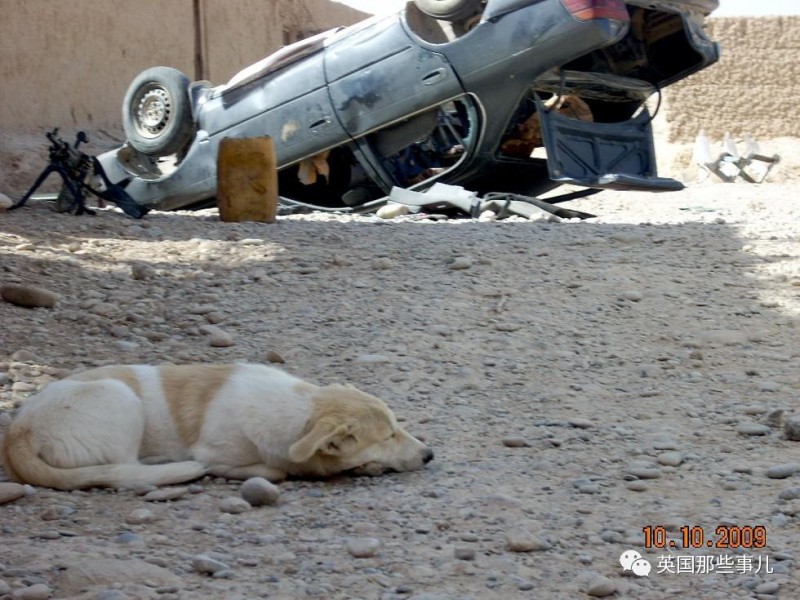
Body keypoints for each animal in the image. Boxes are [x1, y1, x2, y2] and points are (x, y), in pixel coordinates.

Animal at [0, 364, 432, 490]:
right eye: (389, 435)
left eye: (397, 427)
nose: (430, 455)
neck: (300, 411)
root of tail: (18, 430)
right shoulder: (217, 455)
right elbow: (275, 471)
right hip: (120, 398)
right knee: (126, 470)